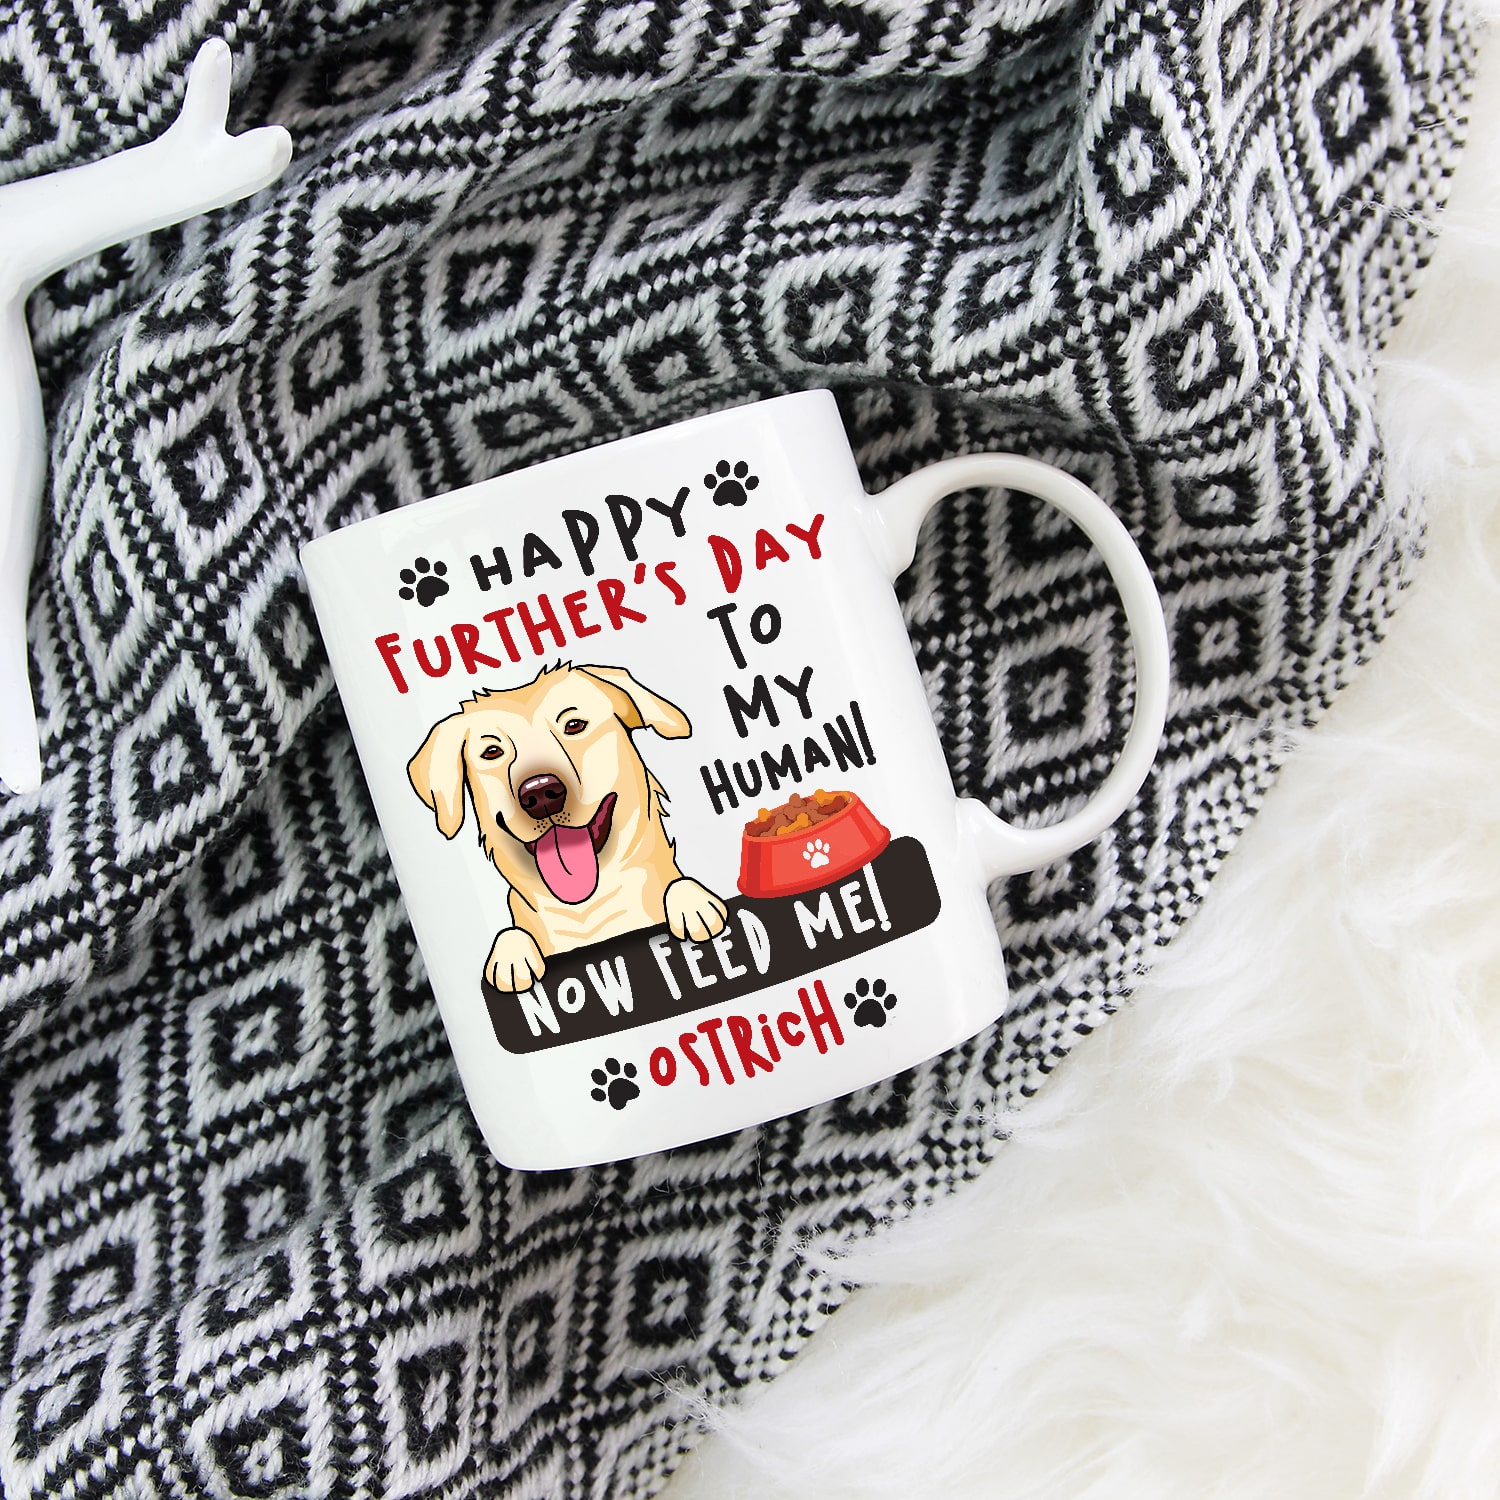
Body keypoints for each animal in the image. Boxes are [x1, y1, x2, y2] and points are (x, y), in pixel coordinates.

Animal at [407, 663, 728, 992]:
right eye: (492, 752)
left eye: (574, 725)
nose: (539, 793)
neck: (587, 910)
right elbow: (511, 931)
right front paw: (512, 956)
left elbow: (679, 884)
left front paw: (692, 903)